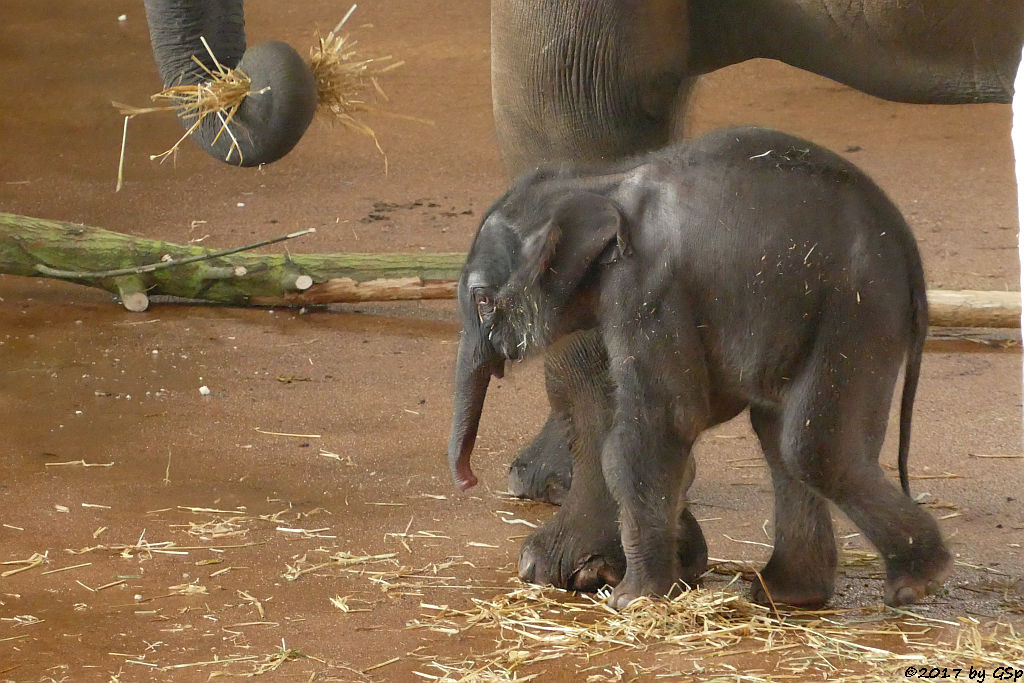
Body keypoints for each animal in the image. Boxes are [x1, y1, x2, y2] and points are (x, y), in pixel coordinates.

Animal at [448, 126, 950, 610]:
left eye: (483, 300)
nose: (469, 479)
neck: (601, 182)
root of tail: (910, 255)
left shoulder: (647, 292)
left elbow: (666, 421)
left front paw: (631, 601)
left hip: (858, 311)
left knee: (814, 447)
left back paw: (916, 582)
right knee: (779, 435)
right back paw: (789, 594)